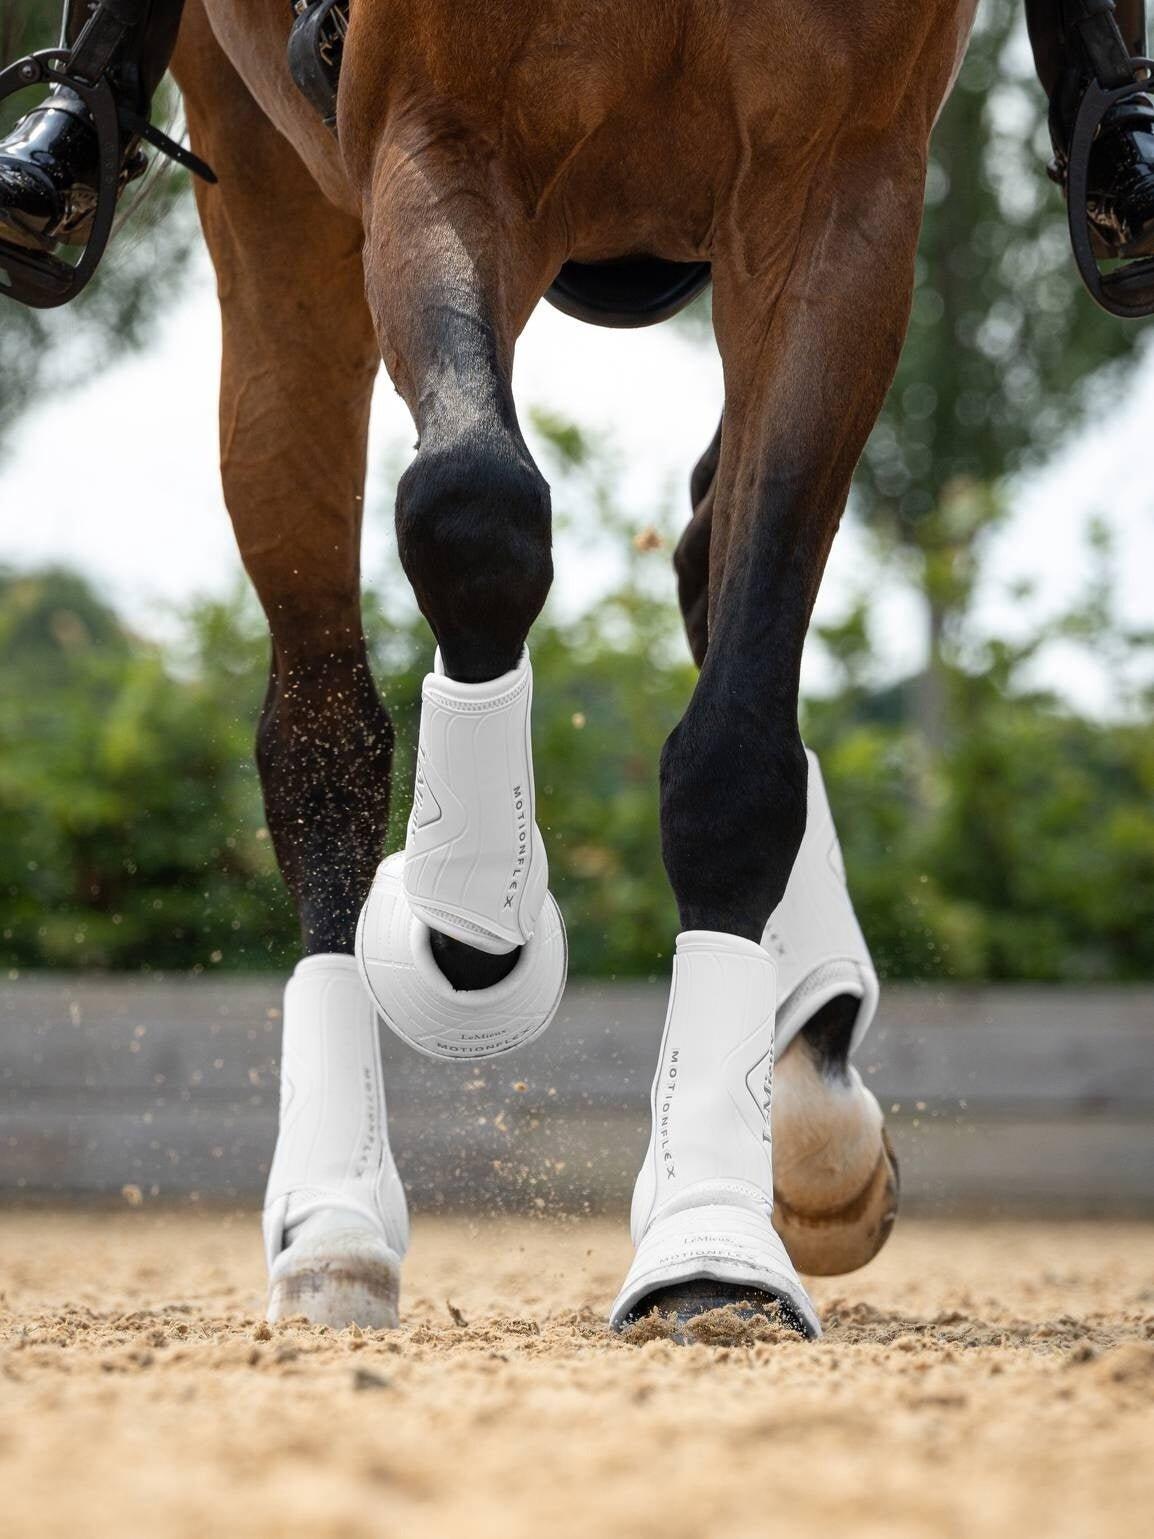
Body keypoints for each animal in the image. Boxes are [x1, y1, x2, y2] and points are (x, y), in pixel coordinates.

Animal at [170, 0, 977, 1336]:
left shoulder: (843, 184)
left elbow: (738, 736)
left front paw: (711, 1233)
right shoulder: (435, 134)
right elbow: (473, 506)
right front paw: (469, 925)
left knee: (707, 551)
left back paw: (802, 1101)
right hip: (272, 194)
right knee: (320, 727)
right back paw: (333, 1222)